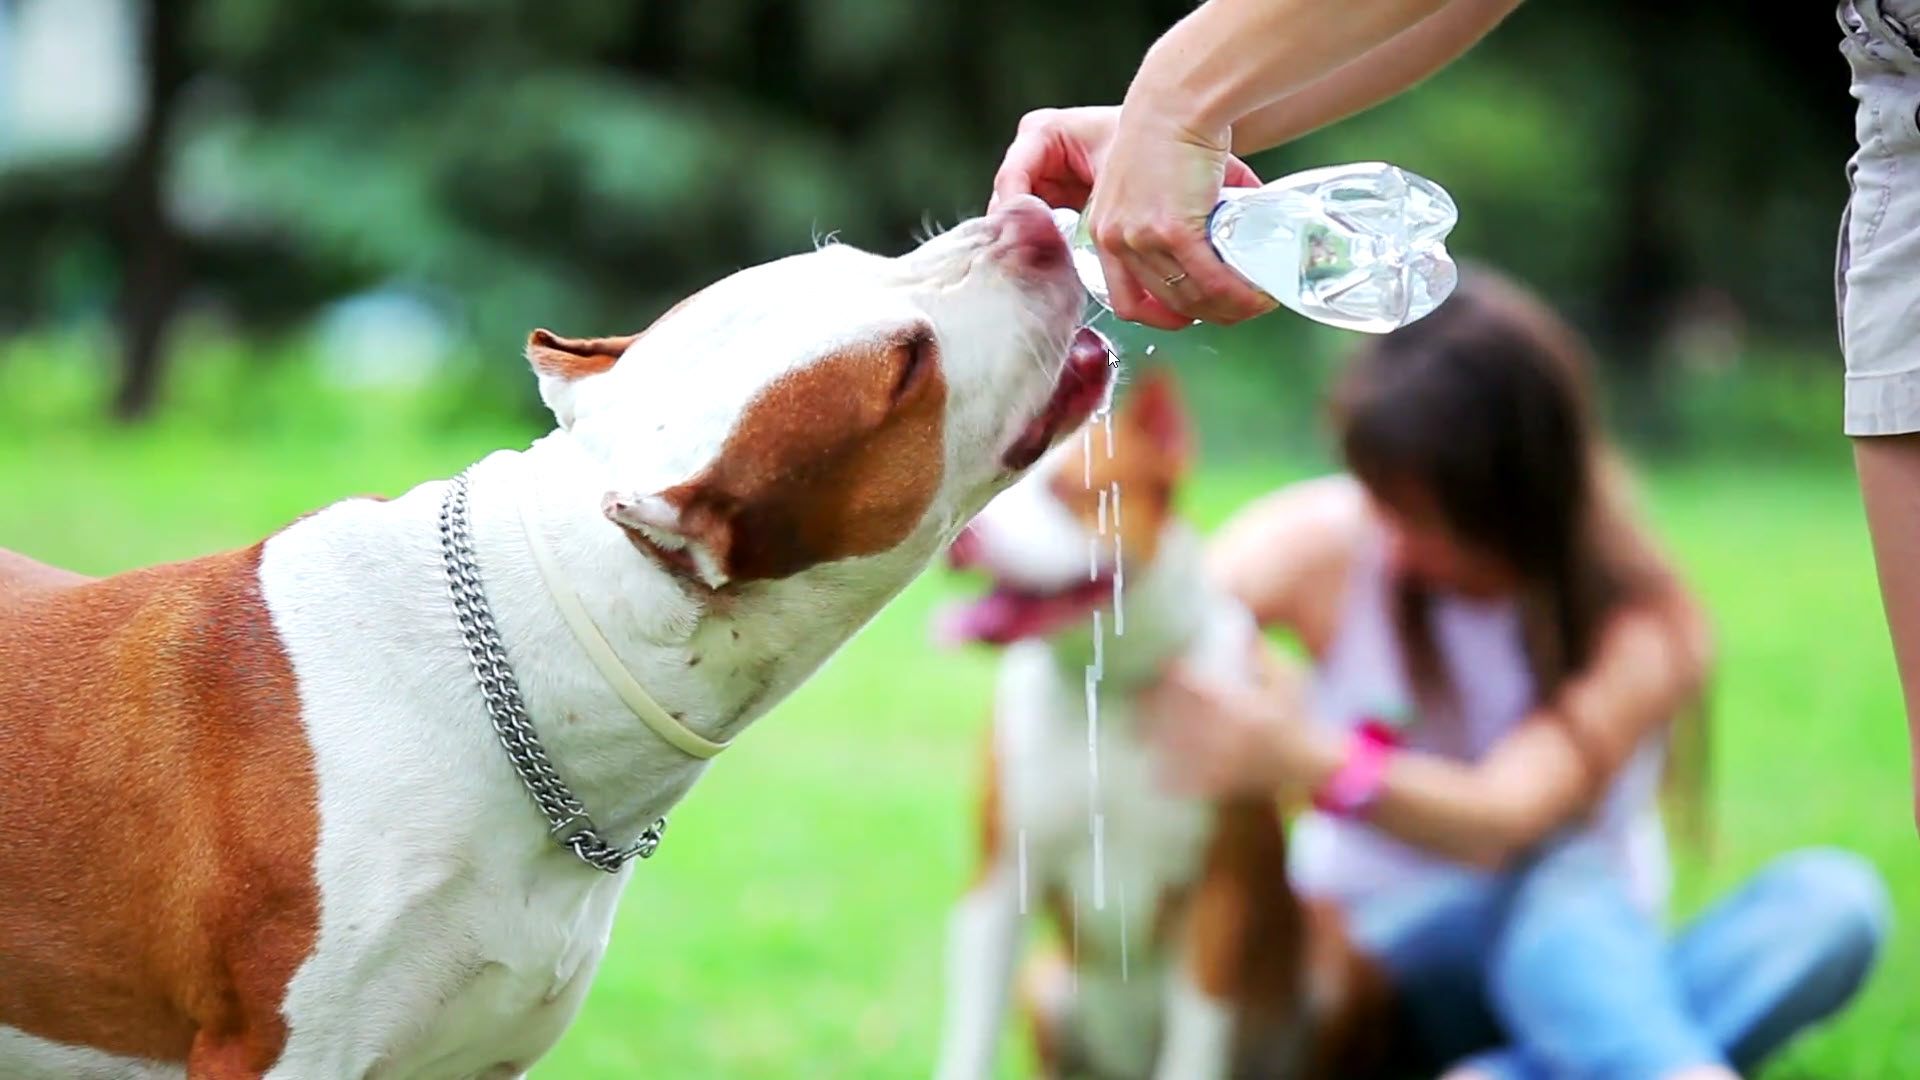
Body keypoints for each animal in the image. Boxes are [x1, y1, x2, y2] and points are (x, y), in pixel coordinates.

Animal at [929, 372, 1397, 1076]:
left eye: (1069, 492)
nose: (964, 536)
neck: (1109, 691)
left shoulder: (1217, 898)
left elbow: (1196, 1041)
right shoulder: (999, 883)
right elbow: (970, 1036)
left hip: (1338, 954)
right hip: (1046, 986)